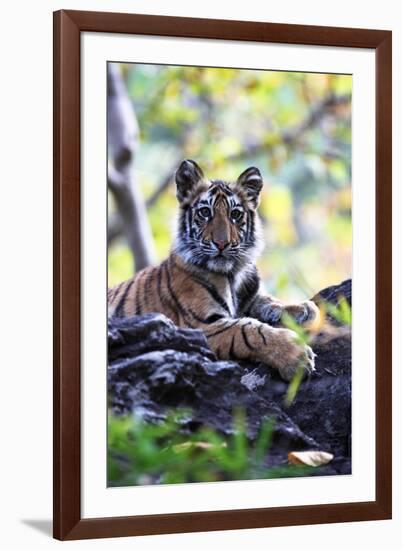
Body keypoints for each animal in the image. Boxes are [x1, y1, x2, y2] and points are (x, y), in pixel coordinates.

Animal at [107, 160, 320, 384]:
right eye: (205, 213)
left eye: (235, 214)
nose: (221, 243)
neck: (233, 274)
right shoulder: (202, 326)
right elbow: (250, 331)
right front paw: (296, 356)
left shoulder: (248, 298)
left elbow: (267, 300)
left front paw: (303, 308)